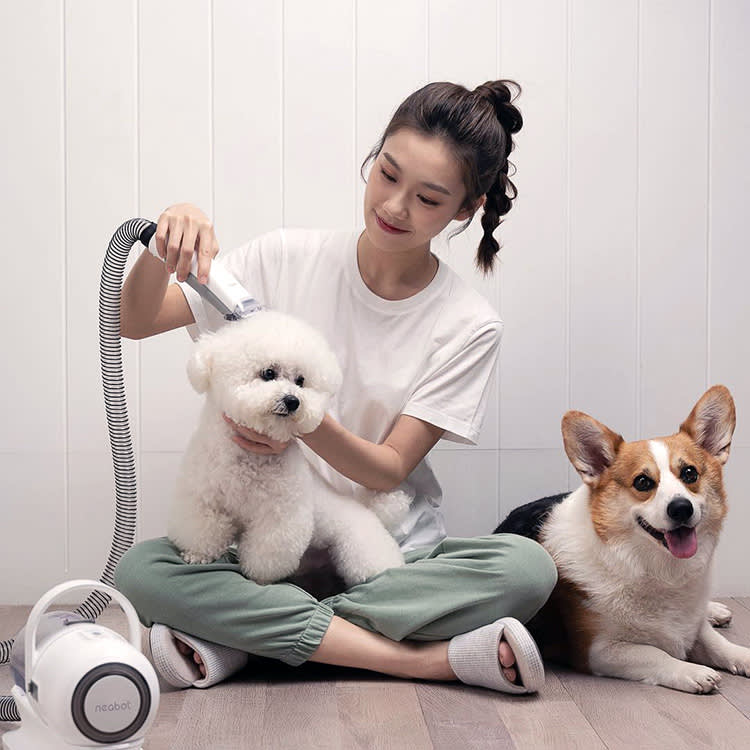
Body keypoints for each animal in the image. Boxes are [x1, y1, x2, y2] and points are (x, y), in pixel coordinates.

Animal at [168, 310, 414, 588]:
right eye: (268, 373)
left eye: (300, 380)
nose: (293, 401)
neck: (248, 461)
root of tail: (371, 512)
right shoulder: (202, 498)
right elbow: (202, 529)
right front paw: (197, 555)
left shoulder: (279, 515)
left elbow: (268, 551)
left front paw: (259, 579)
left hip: (361, 548)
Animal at [494, 388, 750, 692]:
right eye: (642, 482)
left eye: (690, 473)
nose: (681, 508)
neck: (656, 570)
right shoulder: (599, 650)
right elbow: (655, 654)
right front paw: (692, 671)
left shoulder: (693, 624)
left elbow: (717, 643)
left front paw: (741, 654)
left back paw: (715, 610)